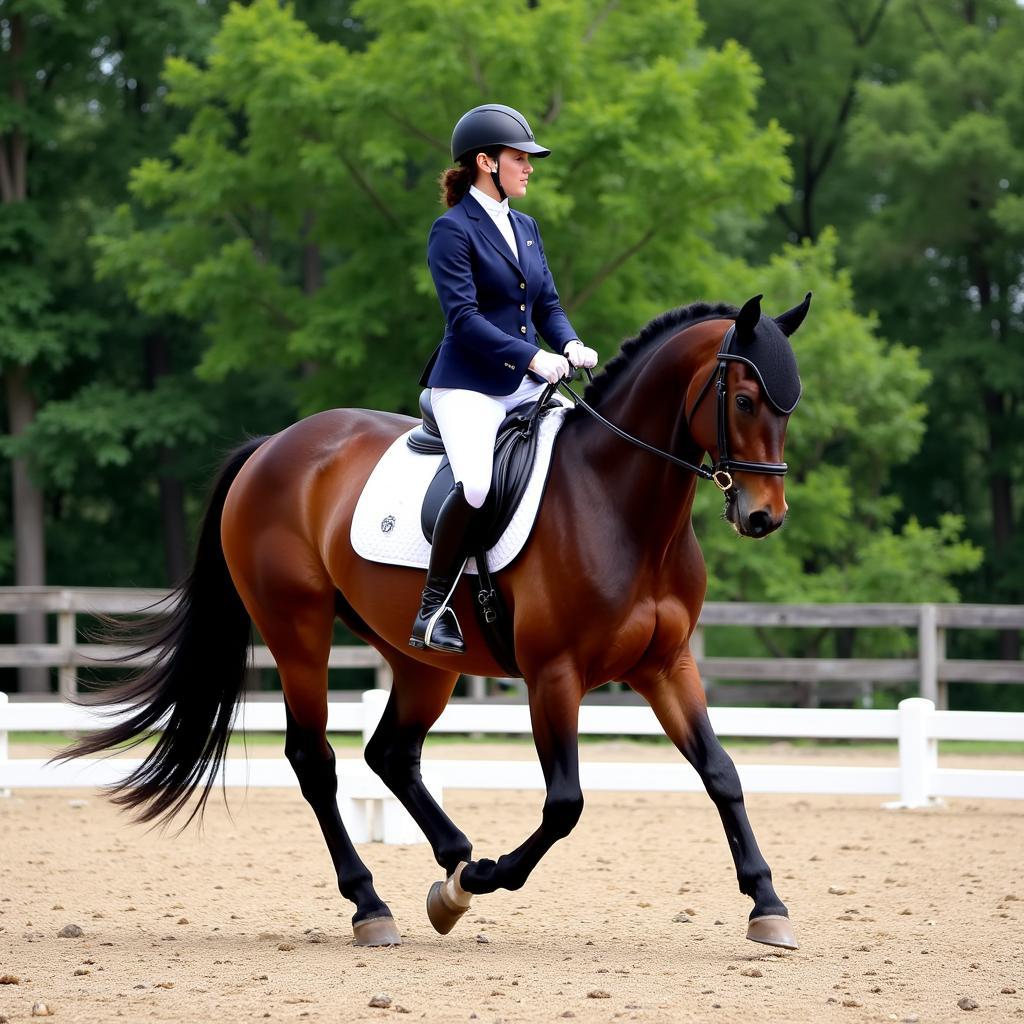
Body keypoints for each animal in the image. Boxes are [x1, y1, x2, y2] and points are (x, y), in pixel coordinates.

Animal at [59, 292, 811, 946]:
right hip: (297, 631)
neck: (620, 503)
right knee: (316, 760)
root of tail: (273, 446)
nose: (764, 517)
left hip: (420, 659)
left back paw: (451, 865)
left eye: (788, 406)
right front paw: (487, 876)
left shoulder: (666, 665)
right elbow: (565, 803)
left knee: (389, 752)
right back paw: (375, 903)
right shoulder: (555, 675)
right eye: (744, 399)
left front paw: (768, 905)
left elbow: (721, 773)